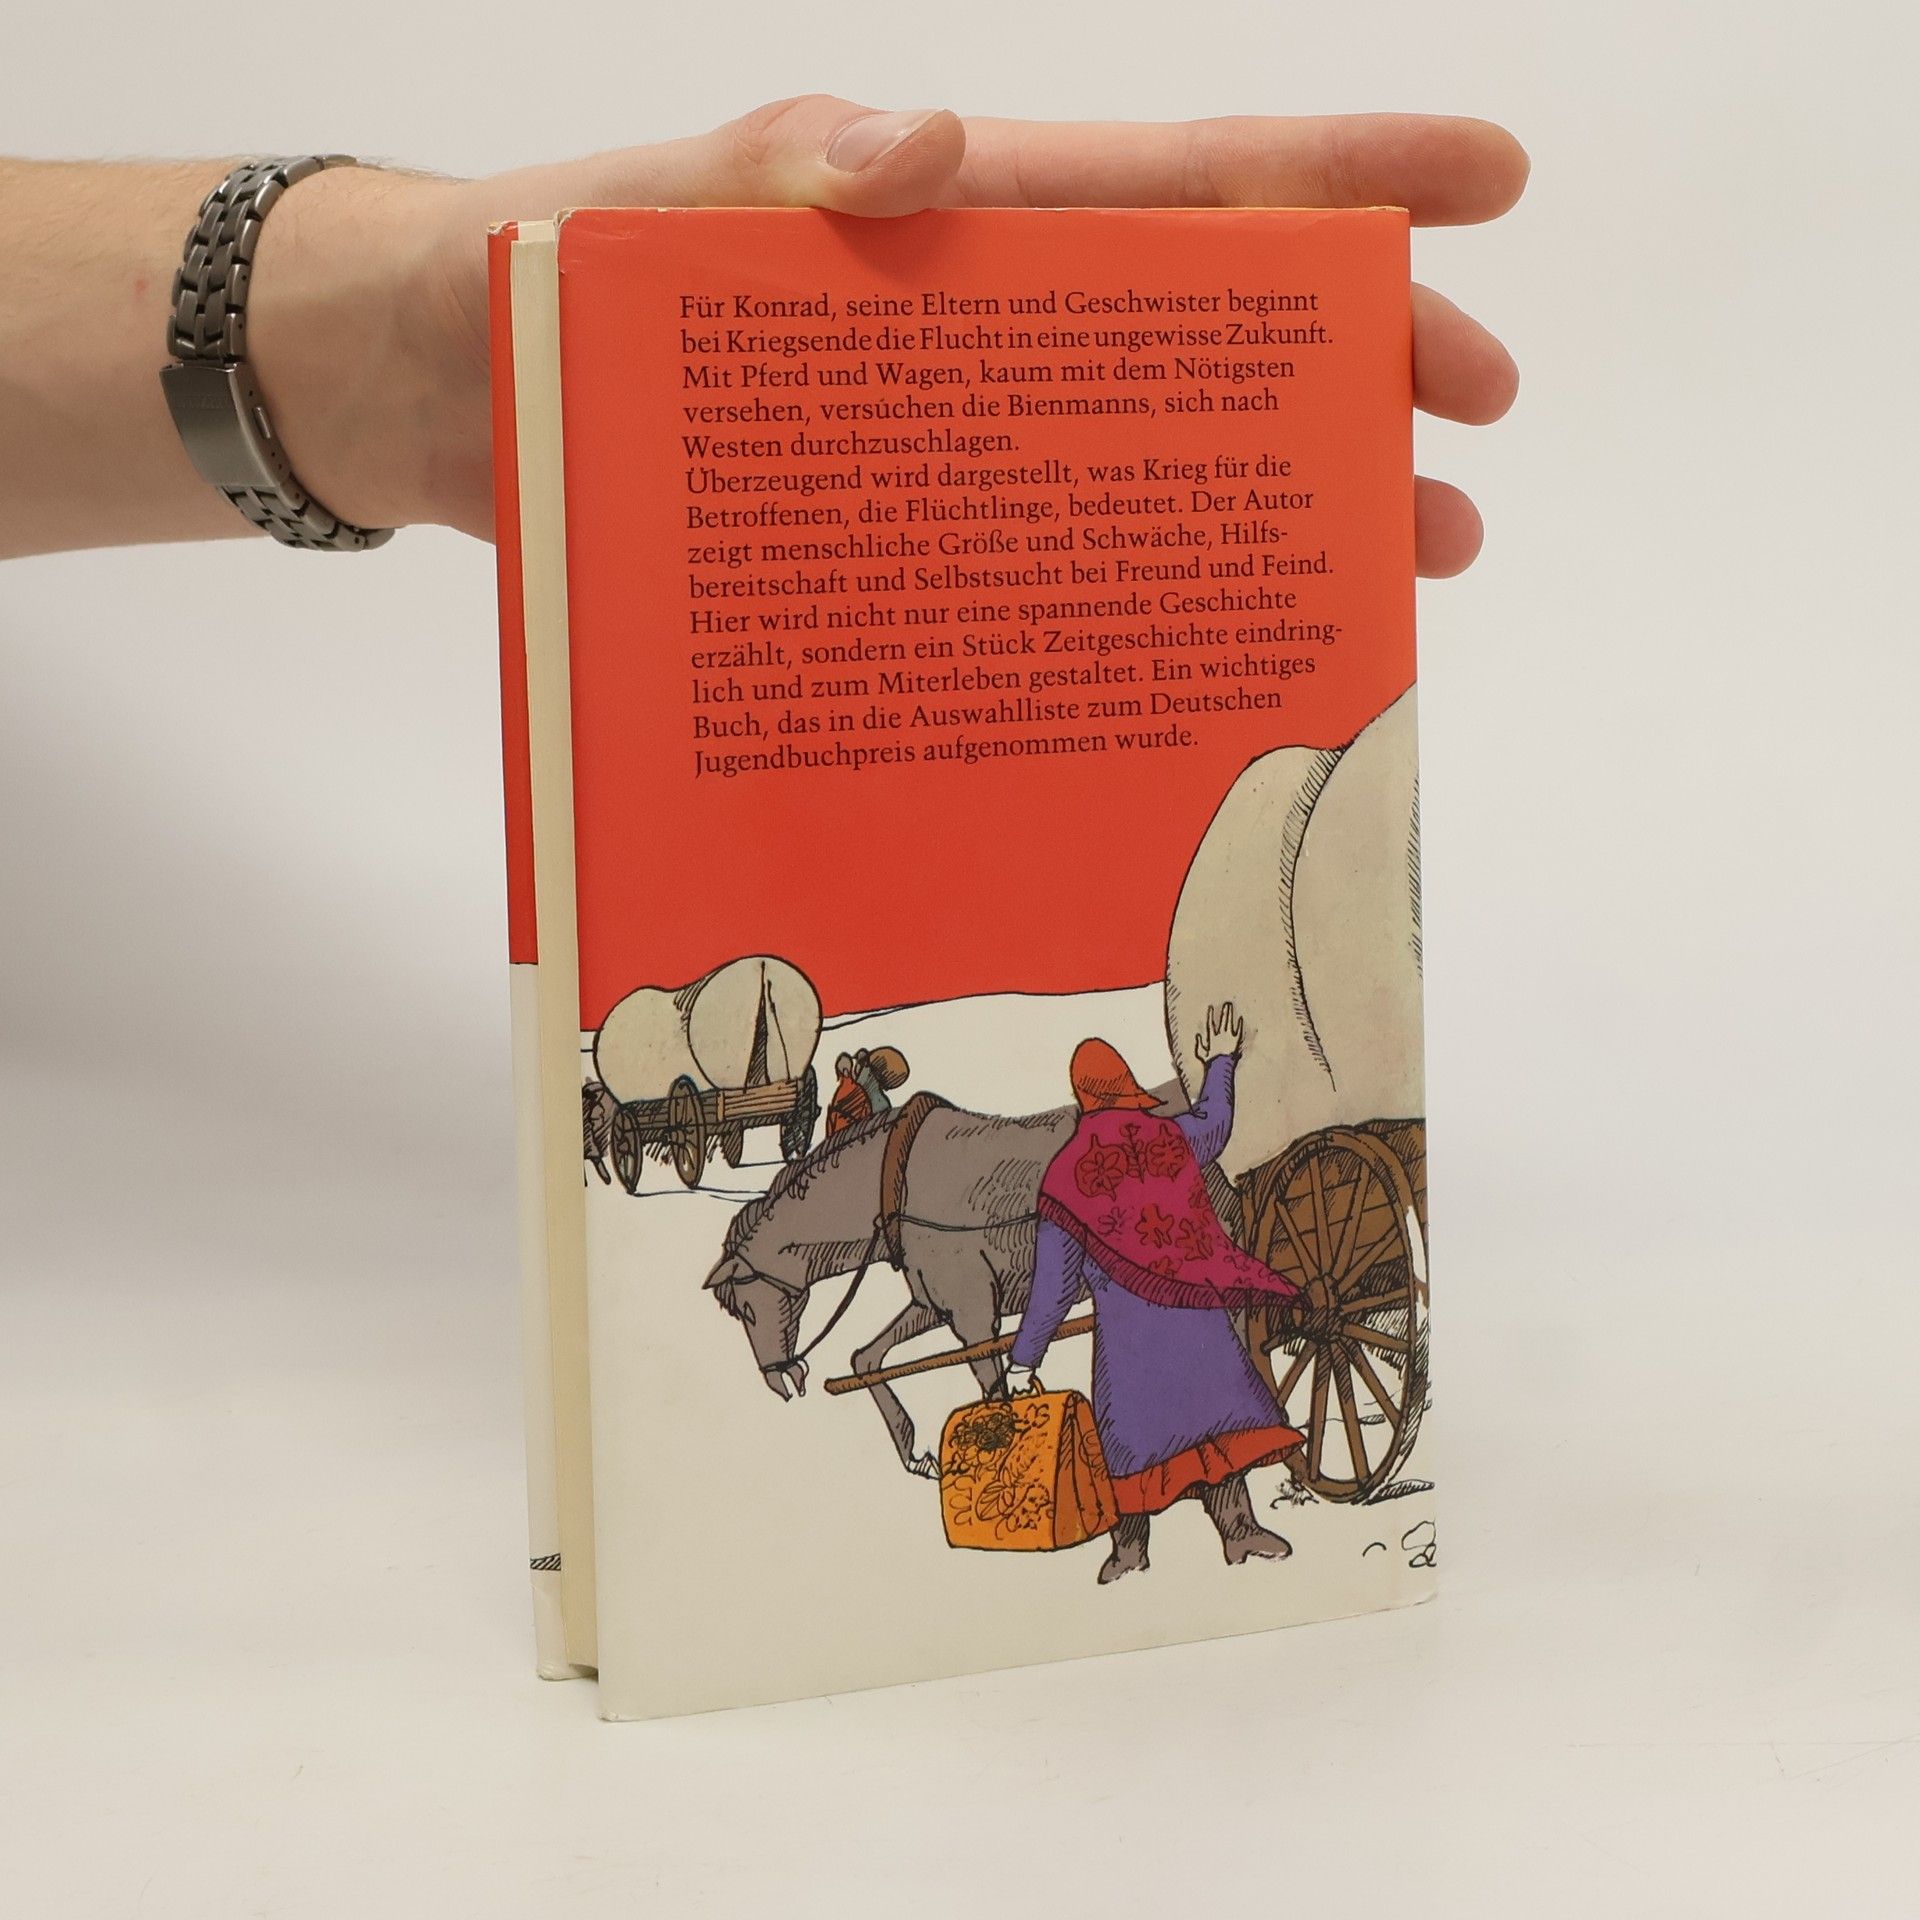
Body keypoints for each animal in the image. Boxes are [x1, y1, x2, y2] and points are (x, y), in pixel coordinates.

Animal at [702, 1095, 1078, 1476]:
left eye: (747, 1310)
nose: (776, 1379)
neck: (896, 1187)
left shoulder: (974, 1318)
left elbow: (995, 1390)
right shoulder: (934, 1307)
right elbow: (865, 1359)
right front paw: (915, 1455)